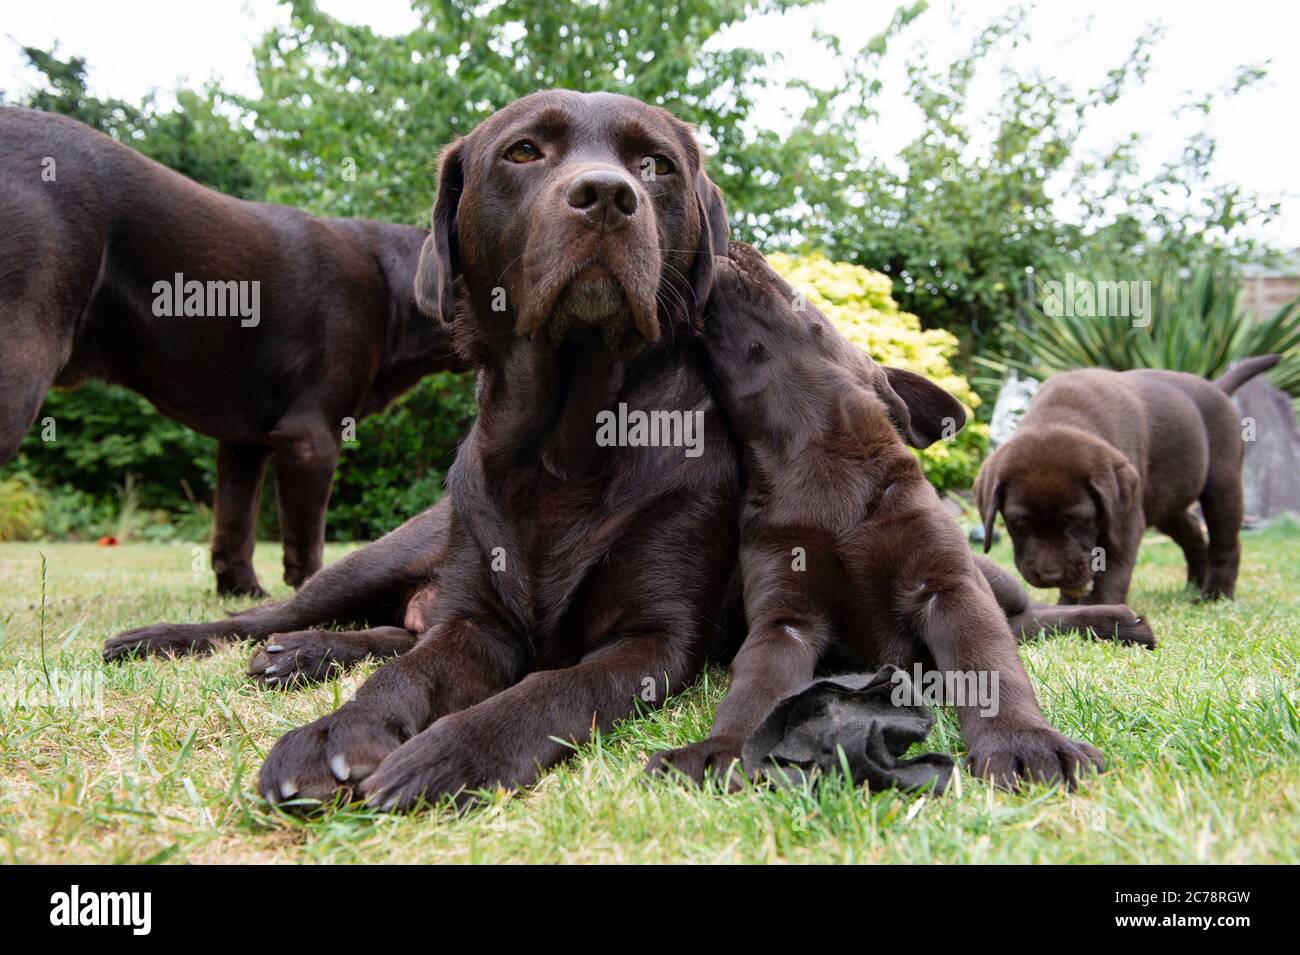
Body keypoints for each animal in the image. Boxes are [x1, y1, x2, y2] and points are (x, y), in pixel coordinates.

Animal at [0, 108, 465, 595]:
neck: (392, 292)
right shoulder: (311, 436)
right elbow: (305, 537)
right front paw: (304, 589)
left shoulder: (246, 445)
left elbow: (234, 525)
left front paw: (241, 591)